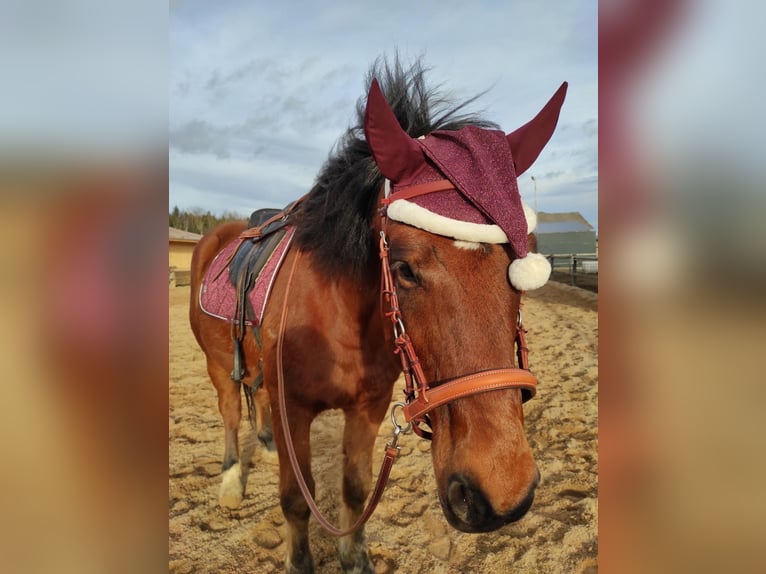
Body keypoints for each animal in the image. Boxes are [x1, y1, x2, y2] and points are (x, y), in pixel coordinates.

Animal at [189, 59, 568, 574]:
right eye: (404, 268)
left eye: (524, 258)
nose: (501, 491)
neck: (339, 318)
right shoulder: (294, 410)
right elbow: (295, 500)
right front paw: (300, 560)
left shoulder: (367, 408)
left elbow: (355, 489)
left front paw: (355, 557)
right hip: (217, 365)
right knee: (230, 412)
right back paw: (231, 481)